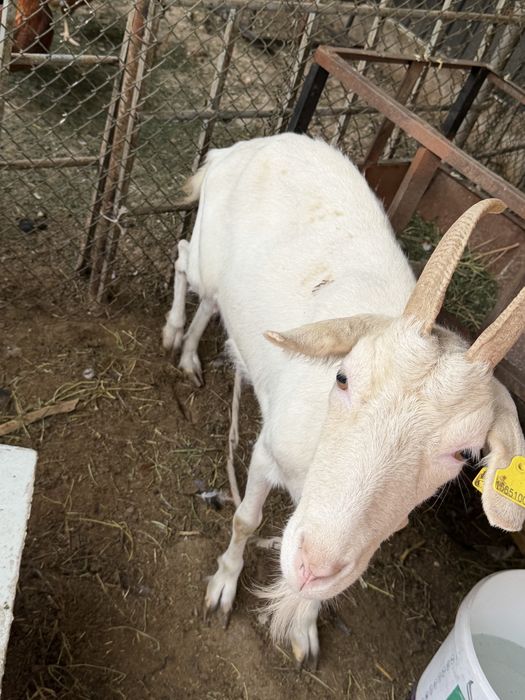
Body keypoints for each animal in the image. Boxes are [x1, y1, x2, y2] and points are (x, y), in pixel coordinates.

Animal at [162, 133, 525, 668]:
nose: (313, 565)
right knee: (184, 257)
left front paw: (304, 631)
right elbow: (246, 520)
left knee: (211, 300)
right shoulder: (268, 452)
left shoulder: (370, 534)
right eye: (343, 378)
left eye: (465, 452)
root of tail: (243, 145)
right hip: (207, 250)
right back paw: (173, 335)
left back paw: (190, 356)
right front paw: (223, 589)